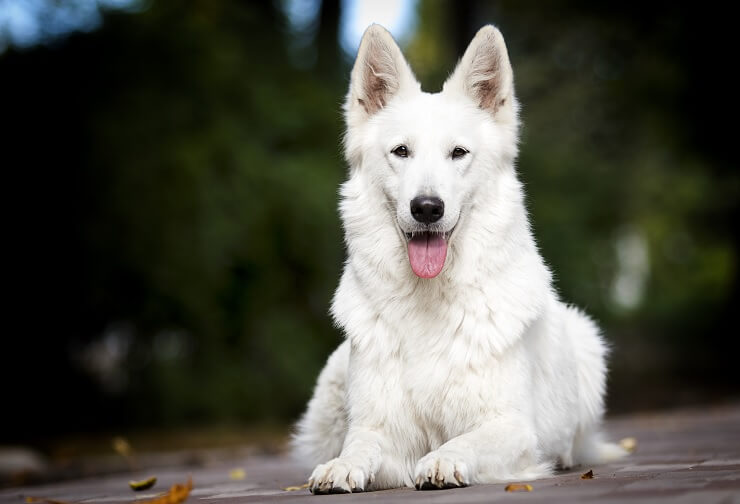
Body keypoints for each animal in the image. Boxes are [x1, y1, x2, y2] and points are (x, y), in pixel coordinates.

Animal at [290, 23, 624, 492]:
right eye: (401, 151)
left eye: (458, 153)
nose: (427, 208)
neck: (429, 299)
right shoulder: (382, 432)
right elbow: (360, 444)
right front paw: (342, 465)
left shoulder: (511, 426)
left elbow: (464, 440)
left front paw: (444, 460)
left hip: (587, 340)